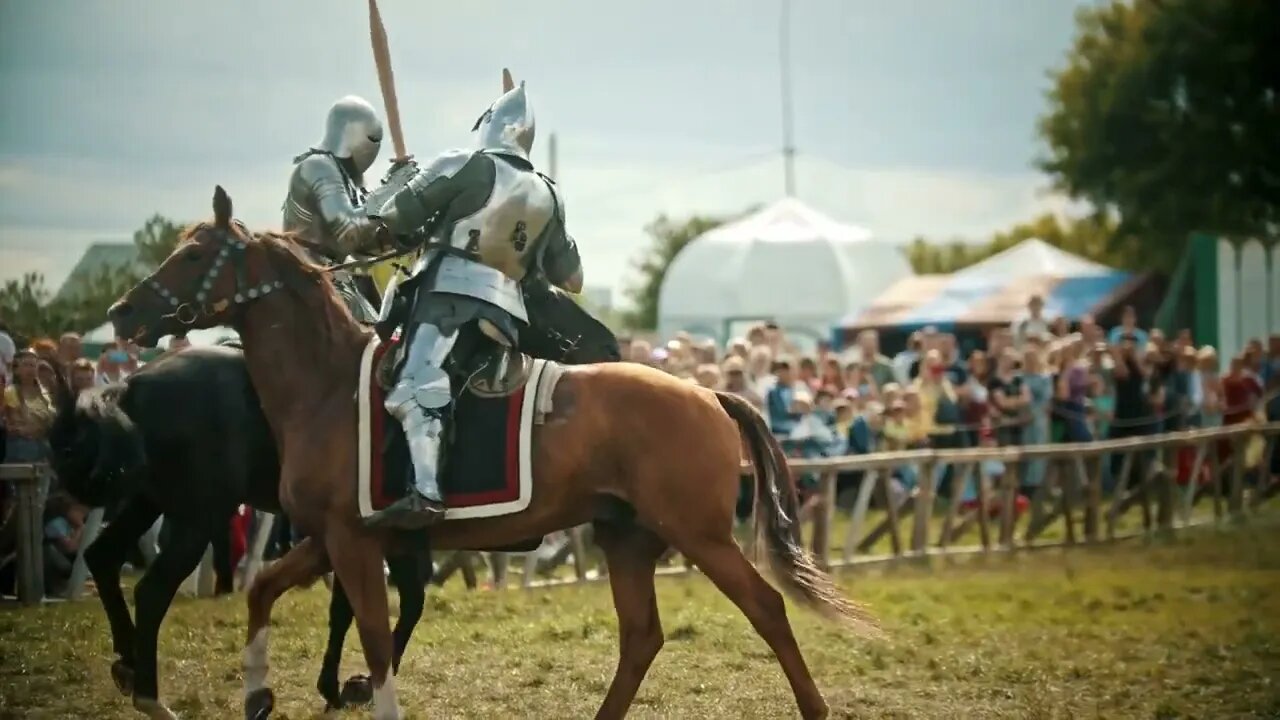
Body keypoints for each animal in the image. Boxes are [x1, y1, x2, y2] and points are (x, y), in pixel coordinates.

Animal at [52, 278, 622, 712]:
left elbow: (365, 605)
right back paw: (146, 685)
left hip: (150, 501)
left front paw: (342, 683)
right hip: (197, 515)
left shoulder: (370, 536)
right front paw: (353, 684)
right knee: (149, 589)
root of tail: (130, 384)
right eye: (544, 296)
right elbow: (385, 604)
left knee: (103, 556)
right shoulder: (372, 535)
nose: (612, 348)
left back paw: (128, 662)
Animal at [110, 185, 875, 717]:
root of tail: (710, 395)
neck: (324, 386)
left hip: (699, 536)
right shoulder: (332, 539)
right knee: (642, 638)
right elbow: (266, 589)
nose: (122, 313)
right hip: (627, 538)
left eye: (194, 255)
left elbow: (377, 637)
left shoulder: (356, 544)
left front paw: (354, 693)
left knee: (765, 609)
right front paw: (258, 693)